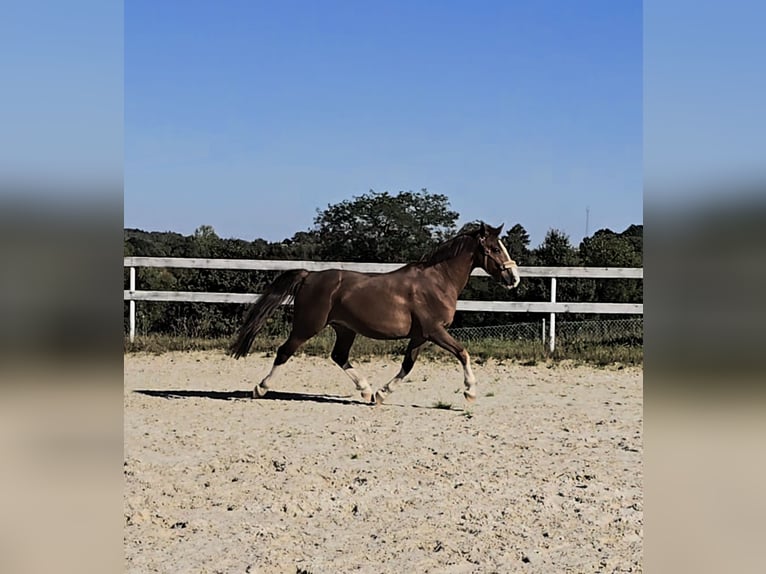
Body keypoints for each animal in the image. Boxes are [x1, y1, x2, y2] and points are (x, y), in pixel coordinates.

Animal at [229, 222, 520, 404]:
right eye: (495, 248)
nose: (514, 278)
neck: (438, 281)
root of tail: (309, 275)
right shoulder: (434, 331)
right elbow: (462, 353)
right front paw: (470, 392)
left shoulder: (420, 335)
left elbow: (407, 365)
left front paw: (381, 394)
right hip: (307, 326)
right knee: (284, 351)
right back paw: (260, 388)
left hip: (345, 329)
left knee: (339, 356)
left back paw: (366, 390)